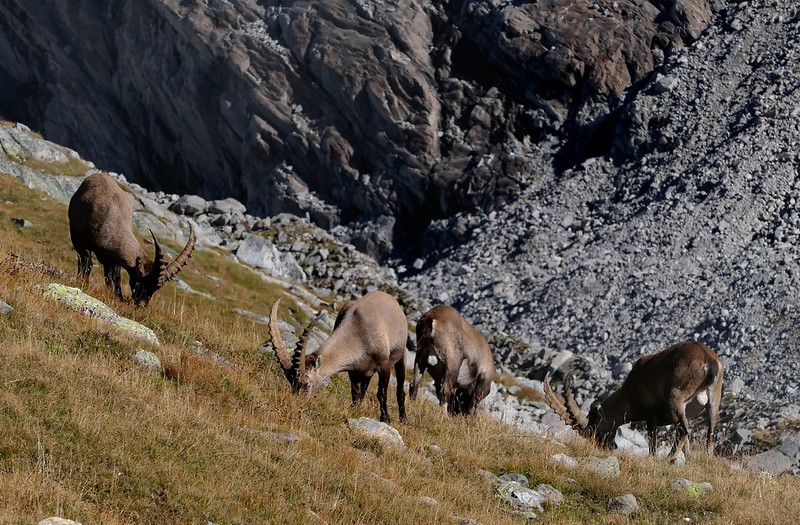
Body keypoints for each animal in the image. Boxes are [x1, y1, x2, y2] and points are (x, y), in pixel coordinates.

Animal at [68, 173, 196, 307]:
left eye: (156, 288)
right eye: (141, 281)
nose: (141, 305)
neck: (110, 222)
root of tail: (98, 174)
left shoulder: (112, 259)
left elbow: (114, 277)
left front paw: (118, 297)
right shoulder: (80, 244)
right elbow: (87, 264)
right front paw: (82, 283)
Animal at [266, 291, 408, 423]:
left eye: (307, 384)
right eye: (291, 382)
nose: (298, 402)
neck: (358, 330)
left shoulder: (383, 365)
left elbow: (381, 393)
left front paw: (385, 419)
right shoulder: (354, 371)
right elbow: (356, 394)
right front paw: (355, 411)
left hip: (400, 356)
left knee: (400, 389)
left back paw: (404, 420)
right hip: (366, 371)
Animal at [544, 341, 723, 460]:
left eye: (596, 430)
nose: (607, 448)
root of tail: (710, 362)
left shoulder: (651, 416)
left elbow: (652, 443)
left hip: (676, 399)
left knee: (684, 431)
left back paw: (668, 459)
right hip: (714, 399)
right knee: (709, 432)